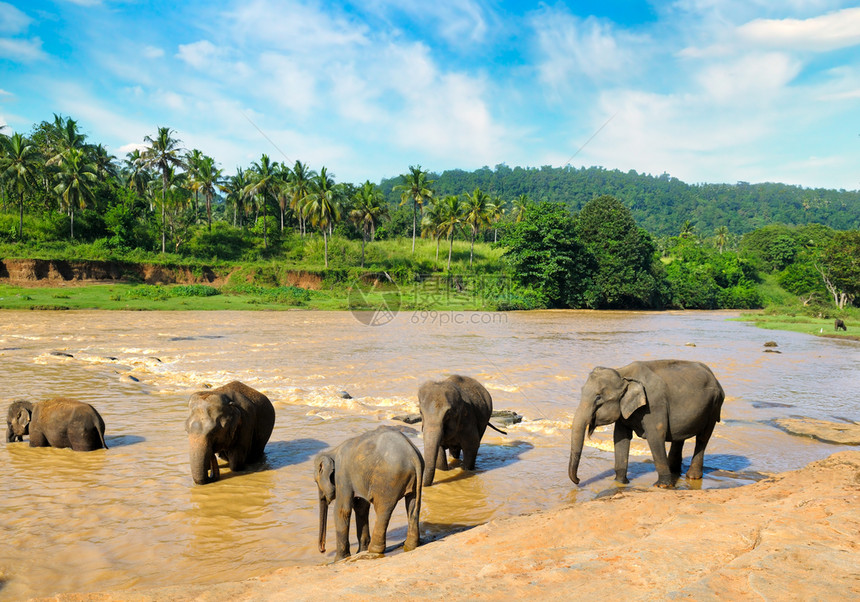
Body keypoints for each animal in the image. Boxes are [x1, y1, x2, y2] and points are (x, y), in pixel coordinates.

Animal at [314, 424, 424, 560]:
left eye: (315, 482)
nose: (322, 550)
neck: (332, 451)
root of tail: (413, 455)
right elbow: (361, 506)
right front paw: (360, 551)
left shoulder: (342, 474)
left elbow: (343, 510)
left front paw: (339, 559)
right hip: (413, 479)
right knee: (412, 505)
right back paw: (410, 546)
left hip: (388, 480)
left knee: (383, 509)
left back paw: (374, 550)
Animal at [572, 358, 724, 486]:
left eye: (598, 398)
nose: (578, 480)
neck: (622, 373)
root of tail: (715, 378)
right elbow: (621, 437)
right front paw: (620, 482)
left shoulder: (654, 405)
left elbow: (655, 436)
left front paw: (662, 486)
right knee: (679, 437)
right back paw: (675, 472)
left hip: (714, 406)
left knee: (702, 438)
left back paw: (691, 477)